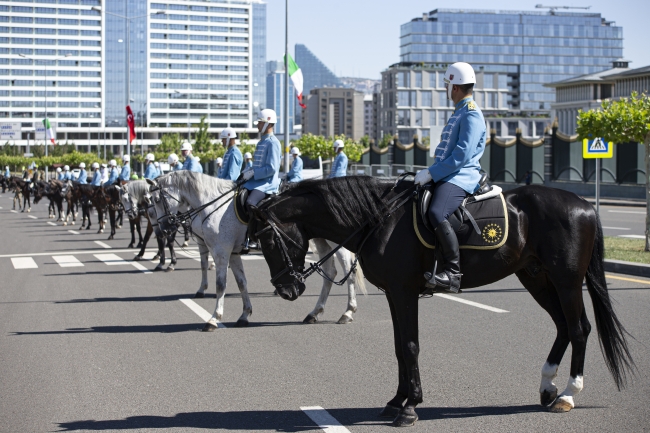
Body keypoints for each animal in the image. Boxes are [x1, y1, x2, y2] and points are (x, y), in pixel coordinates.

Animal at [144, 170, 362, 330]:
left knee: (348, 272)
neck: (212, 205)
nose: (163, 229)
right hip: (320, 239)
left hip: (336, 241)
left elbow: (220, 285)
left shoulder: (221, 251)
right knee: (330, 272)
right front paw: (244, 315)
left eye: (156, 200)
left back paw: (348, 312)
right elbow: (241, 283)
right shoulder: (232, 253)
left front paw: (214, 318)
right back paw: (314, 313)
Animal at [249, 176, 632, 426]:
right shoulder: (394, 293)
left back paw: (568, 393)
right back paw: (547, 386)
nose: (286, 290)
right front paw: (397, 400)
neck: (379, 219)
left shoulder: (404, 291)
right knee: (563, 327)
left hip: (566, 281)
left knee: (579, 329)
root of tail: (584, 206)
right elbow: (398, 347)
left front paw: (410, 406)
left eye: (267, 240)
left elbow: (410, 346)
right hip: (536, 277)